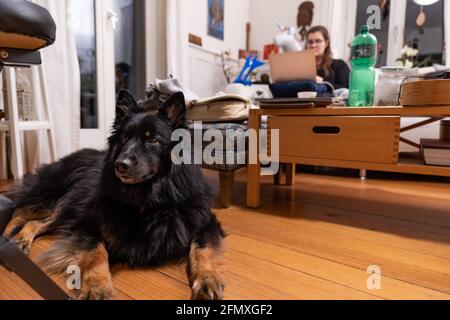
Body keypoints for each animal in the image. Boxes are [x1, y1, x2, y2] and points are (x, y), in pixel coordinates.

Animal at [0, 90, 225, 300]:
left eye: (152, 140)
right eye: (124, 139)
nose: (121, 165)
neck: (148, 197)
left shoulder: (205, 222)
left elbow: (201, 249)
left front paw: (207, 279)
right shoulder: (87, 224)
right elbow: (96, 253)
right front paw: (97, 287)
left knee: (33, 222)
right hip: (54, 199)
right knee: (20, 212)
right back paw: (8, 239)